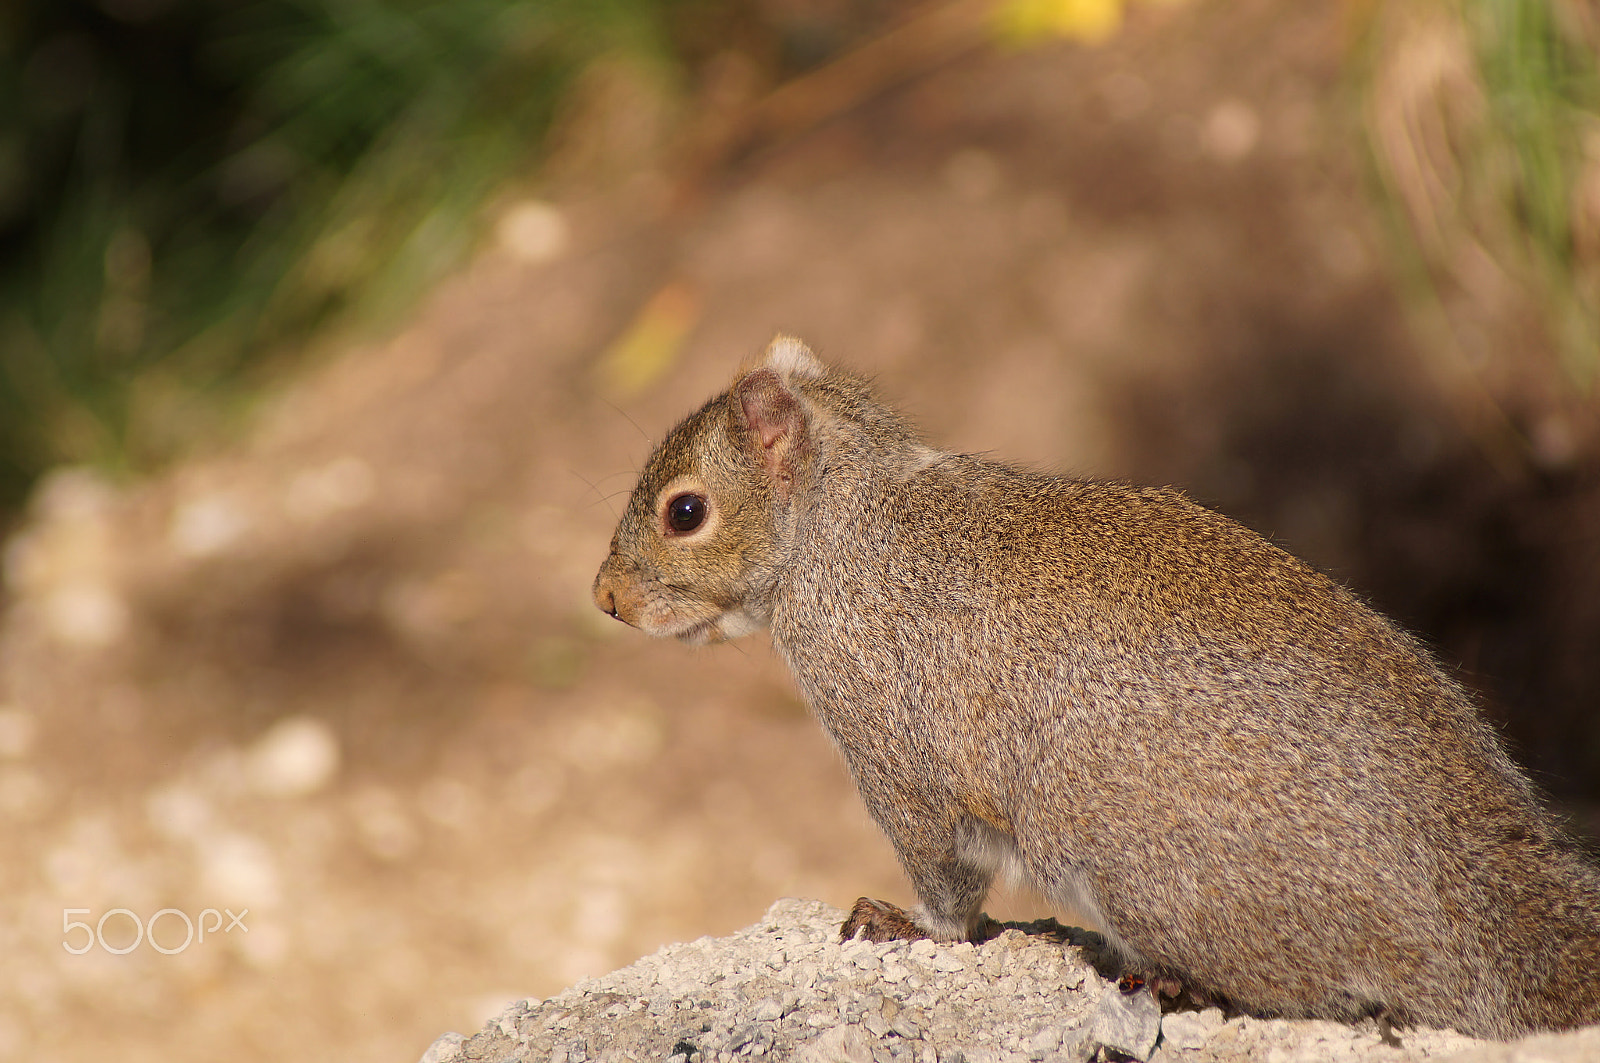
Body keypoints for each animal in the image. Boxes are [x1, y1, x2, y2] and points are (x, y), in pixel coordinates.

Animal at [591, 336, 1600, 1040]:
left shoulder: (892, 741)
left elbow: (943, 876)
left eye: (686, 511)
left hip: (1163, 879)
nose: (603, 598)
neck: (847, 519)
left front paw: (906, 924)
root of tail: (1478, 896)